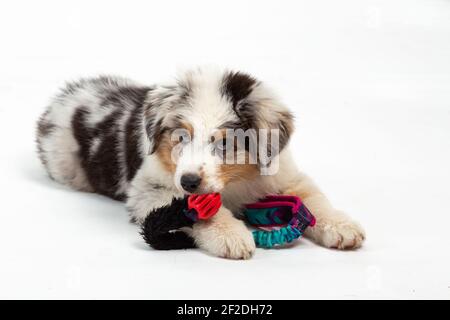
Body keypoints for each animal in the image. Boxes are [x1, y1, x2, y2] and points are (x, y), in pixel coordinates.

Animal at [37, 68, 364, 260]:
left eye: (224, 143)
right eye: (181, 137)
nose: (189, 181)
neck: (235, 183)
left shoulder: (283, 174)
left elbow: (313, 199)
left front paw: (342, 226)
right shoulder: (152, 188)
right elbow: (202, 212)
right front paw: (232, 236)